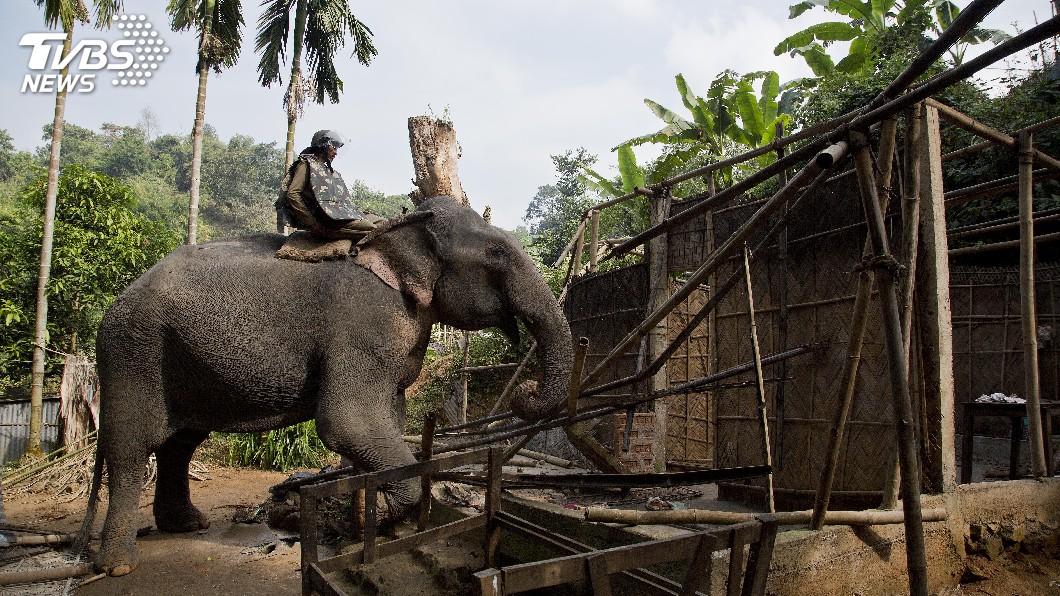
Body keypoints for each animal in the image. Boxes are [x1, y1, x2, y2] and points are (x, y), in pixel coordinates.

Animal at [76, 196, 574, 576]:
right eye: (496, 254)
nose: (527, 391)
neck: (400, 231)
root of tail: (113, 306)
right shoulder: (363, 324)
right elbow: (347, 422)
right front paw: (376, 518)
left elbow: (389, 417)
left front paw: (373, 517)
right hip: (133, 353)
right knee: (131, 446)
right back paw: (117, 566)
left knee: (180, 443)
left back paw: (187, 526)